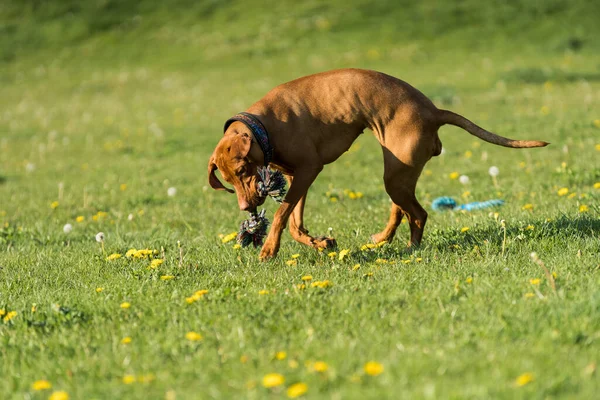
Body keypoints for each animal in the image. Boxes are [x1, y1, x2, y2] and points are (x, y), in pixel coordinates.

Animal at [207, 69, 548, 260]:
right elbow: (294, 223)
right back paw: (381, 240)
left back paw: (411, 250)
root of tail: (433, 110)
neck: (266, 126)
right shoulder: (294, 176)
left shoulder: (308, 170)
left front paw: (268, 250)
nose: (245, 208)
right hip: (399, 173)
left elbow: (280, 215)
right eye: (228, 182)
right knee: (402, 209)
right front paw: (319, 242)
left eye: (243, 171)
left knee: (418, 214)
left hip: (395, 174)